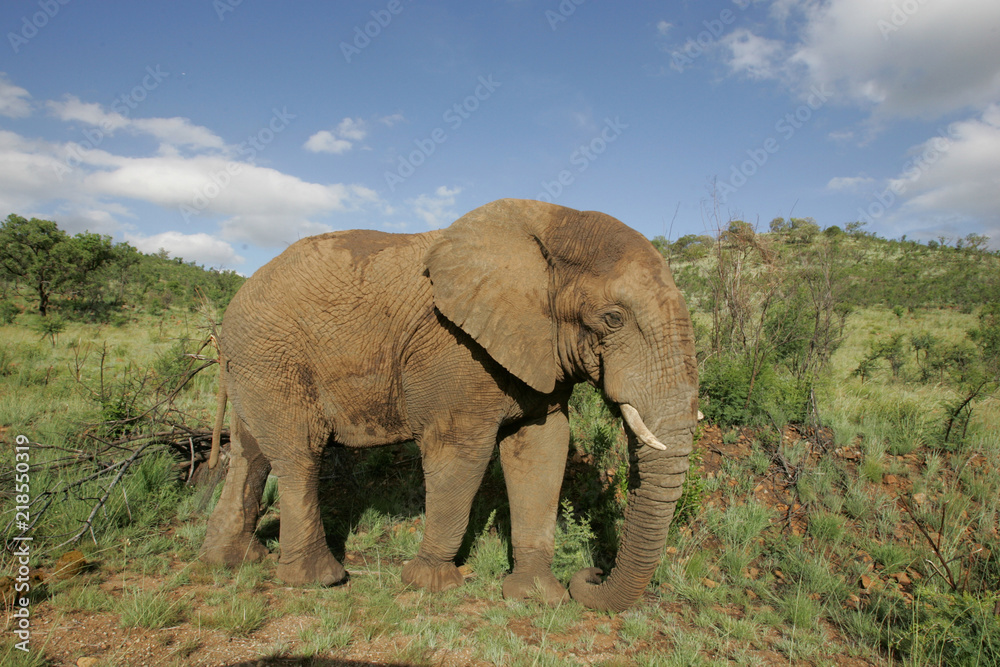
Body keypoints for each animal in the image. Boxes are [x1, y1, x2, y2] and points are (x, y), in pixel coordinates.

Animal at [200, 198, 698, 612]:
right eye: (613, 319)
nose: (591, 574)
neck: (554, 225)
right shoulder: (452, 347)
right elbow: (460, 451)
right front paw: (432, 585)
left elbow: (543, 447)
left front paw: (537, 596)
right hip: (274, 356)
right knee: (300, 453)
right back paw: (320, 579)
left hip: (256, 363)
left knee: (249, 454)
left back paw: (233, 560)